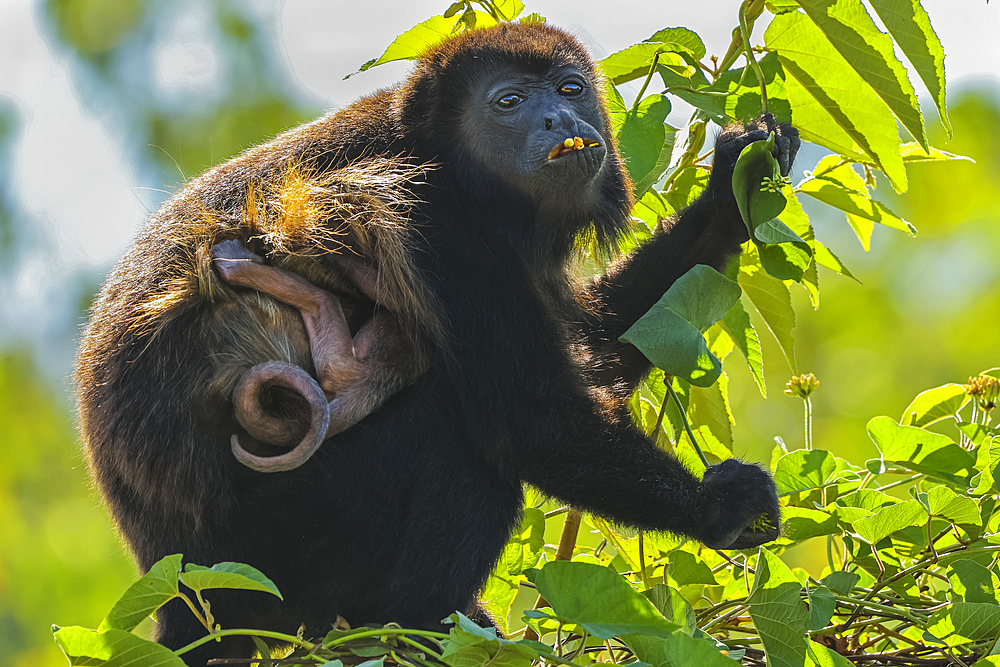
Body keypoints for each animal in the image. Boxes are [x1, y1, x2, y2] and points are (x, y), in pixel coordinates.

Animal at [76, 22, 796, 667]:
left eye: (570, 87)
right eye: (509, 101)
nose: (560, 117)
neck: (450, 163)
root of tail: (175, 581)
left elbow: (595, 345)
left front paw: (732, 189)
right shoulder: (436, 221)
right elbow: (530, 421)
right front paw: (719, 508)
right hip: (277, 552)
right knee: (457, 438)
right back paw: (417, 627)